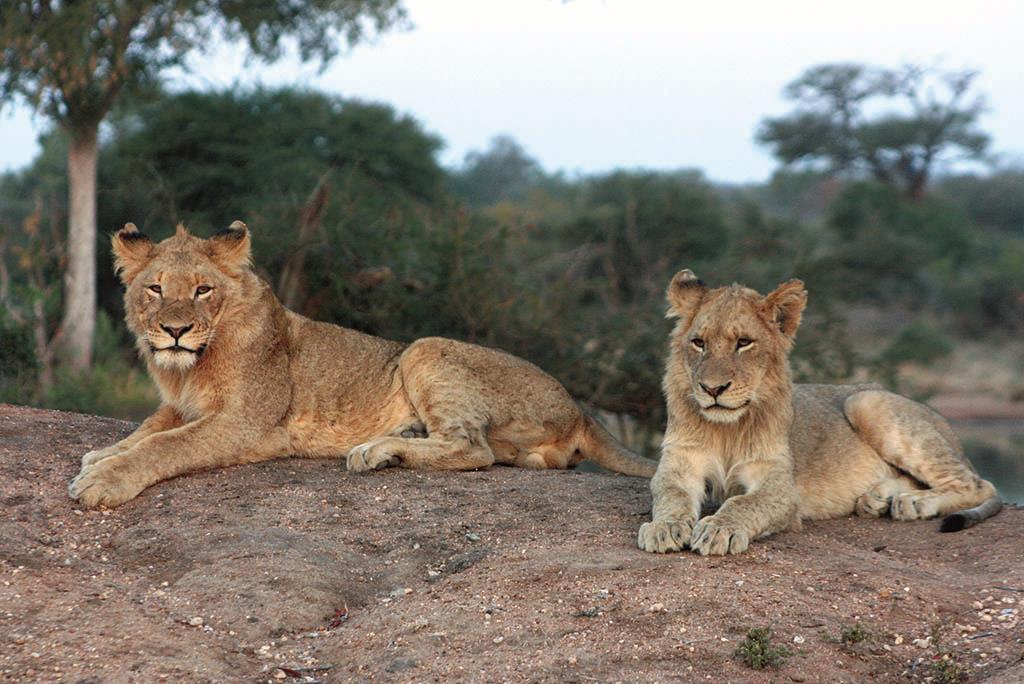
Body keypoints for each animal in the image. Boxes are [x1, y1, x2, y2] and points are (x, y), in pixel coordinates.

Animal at [68, 223, 655, 507]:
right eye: (155, 289)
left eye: (202, 290)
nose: (175, 330)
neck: (190, 366)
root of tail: (580, 408)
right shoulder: (179, 405)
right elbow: (147, 430)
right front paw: (100, 456)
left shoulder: (247, 422)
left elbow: (168, 445)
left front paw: (104, 479)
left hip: (424, 348)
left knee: (474, 450)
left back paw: (376, 451)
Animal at [638, 268, 999, 557]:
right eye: (698, 343)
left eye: (744, 342)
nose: (712, 389)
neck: (726, 427)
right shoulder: (680, 462)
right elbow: (670, 494)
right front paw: (664, 528)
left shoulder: (779, 482)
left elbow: (744, 502)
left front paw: (718, 529)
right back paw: (878, 498)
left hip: (866, 400)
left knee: (979, 484)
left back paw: (914, 503)